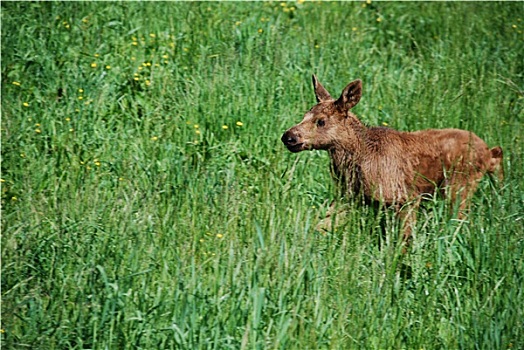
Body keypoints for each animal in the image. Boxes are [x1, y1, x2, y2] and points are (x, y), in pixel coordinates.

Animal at [282, 74, 504, 243]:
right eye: (304, 115)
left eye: (321, 121)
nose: (288, 137)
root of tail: (484, 149)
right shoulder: (352, 196)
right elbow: (320, 224)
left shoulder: (405, 198)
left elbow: (404, 241)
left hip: (459, 186)